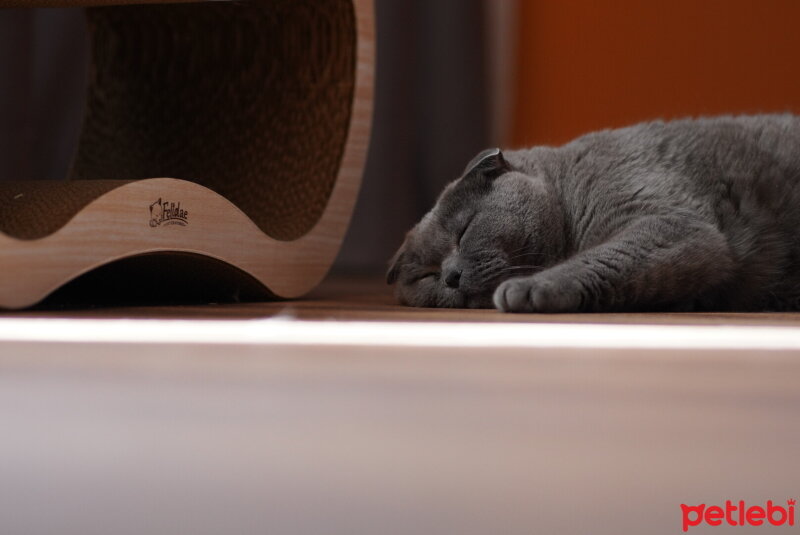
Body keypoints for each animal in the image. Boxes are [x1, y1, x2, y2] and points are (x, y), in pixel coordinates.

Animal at [388, 114, 800, 314]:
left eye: (464, 230)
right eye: (426, 276)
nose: (451, 276)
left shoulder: (672, 224)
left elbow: (604, 258)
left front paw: (530, 288)